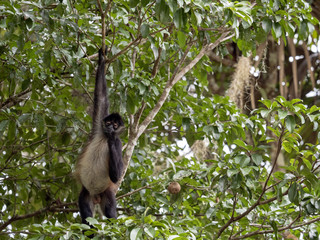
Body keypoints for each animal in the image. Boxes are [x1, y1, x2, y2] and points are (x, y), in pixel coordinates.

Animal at [75, 46, 124, 227]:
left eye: (115, 125)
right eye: (109, 122)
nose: (110, 127)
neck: (103, 138)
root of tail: (96, 196)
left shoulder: (119, 143)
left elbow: (116, 175)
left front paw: (111, 138)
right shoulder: (98, 127)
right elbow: (101, 96)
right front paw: (102, 58)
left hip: (106, 193)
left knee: (110, 210)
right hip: (86, 194)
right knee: (86, 213)